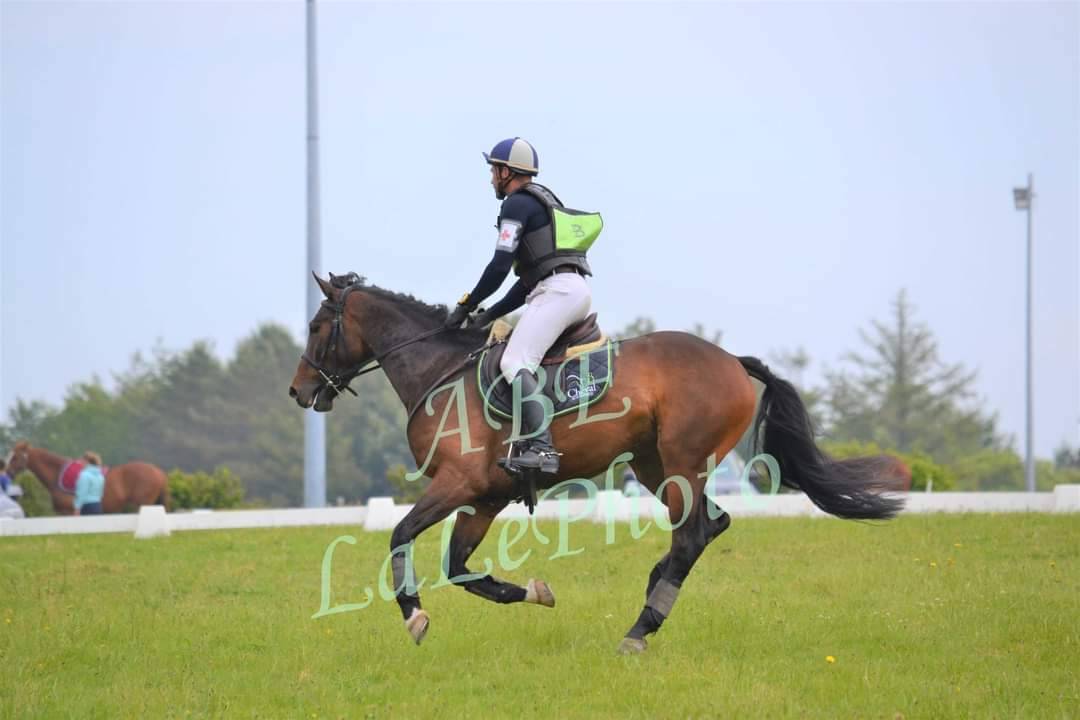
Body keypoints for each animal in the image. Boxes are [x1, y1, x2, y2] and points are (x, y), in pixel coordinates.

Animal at [4, 441, 170, 515]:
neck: (57, 474)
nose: (6, 473)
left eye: (15, 457)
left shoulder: (69, 512)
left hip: (144, 504)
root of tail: (159, 472)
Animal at [289, 274, 904, 653]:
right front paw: (535, 592)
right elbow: (460, 567)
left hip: (681, 463)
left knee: (692, 535)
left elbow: (400, 535)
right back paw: (653, 595)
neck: (439, 369)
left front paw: (413, 615)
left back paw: (640, 627)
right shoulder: (483, 497)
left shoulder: (455, 484)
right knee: (711, 525)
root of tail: (731, 360)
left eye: (317, 327)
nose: (299, 391)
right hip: (656, 466)